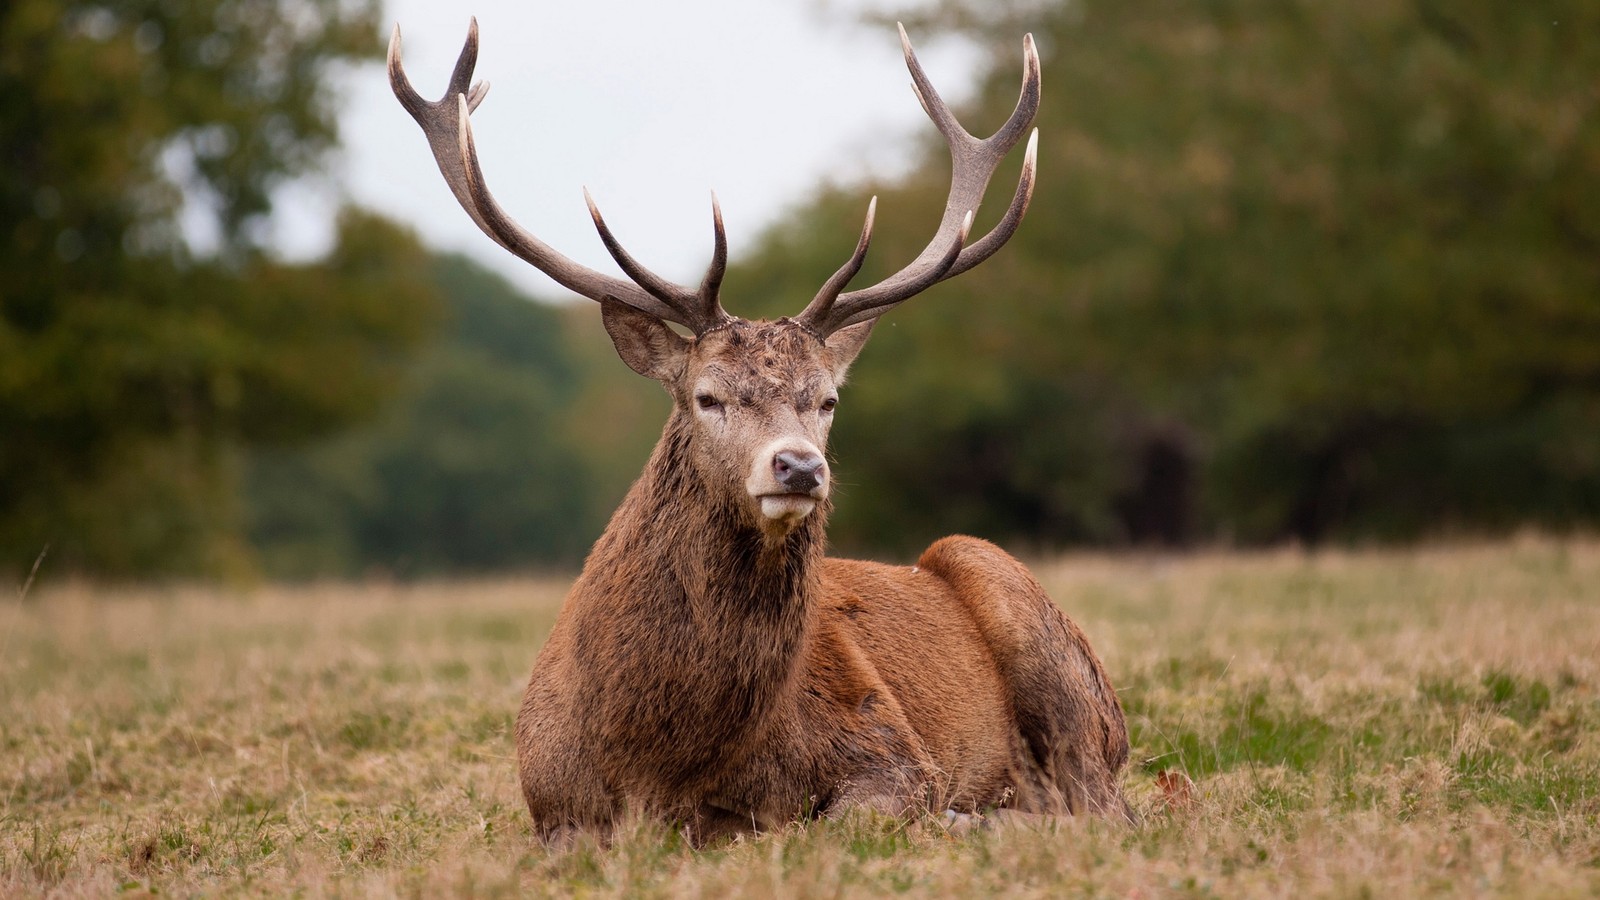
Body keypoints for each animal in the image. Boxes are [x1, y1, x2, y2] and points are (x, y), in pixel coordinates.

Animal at [392, 15, 1132, 839]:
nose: (800, 467)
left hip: (1027, 622)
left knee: (1112, 804)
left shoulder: (897, 754)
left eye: (828, 399)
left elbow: (836, 819)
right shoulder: (552, 803)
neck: (660, 763)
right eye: (707, 397)